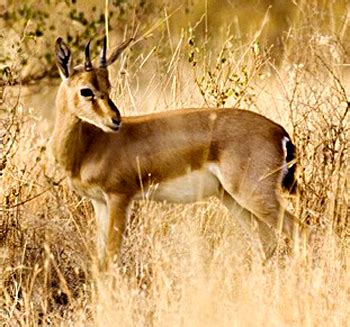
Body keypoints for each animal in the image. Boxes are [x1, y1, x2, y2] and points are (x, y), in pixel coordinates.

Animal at [51, 37, 308, 270]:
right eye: (87, 90)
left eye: (107, 87)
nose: (115, 120)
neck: (90, 145)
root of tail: (280, 131)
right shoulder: (100, 203)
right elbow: (101, 260)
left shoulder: (119, 197)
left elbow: (111, 258)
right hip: (231, 198)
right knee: (266, 239)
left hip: (254, 195)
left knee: (300, 231)